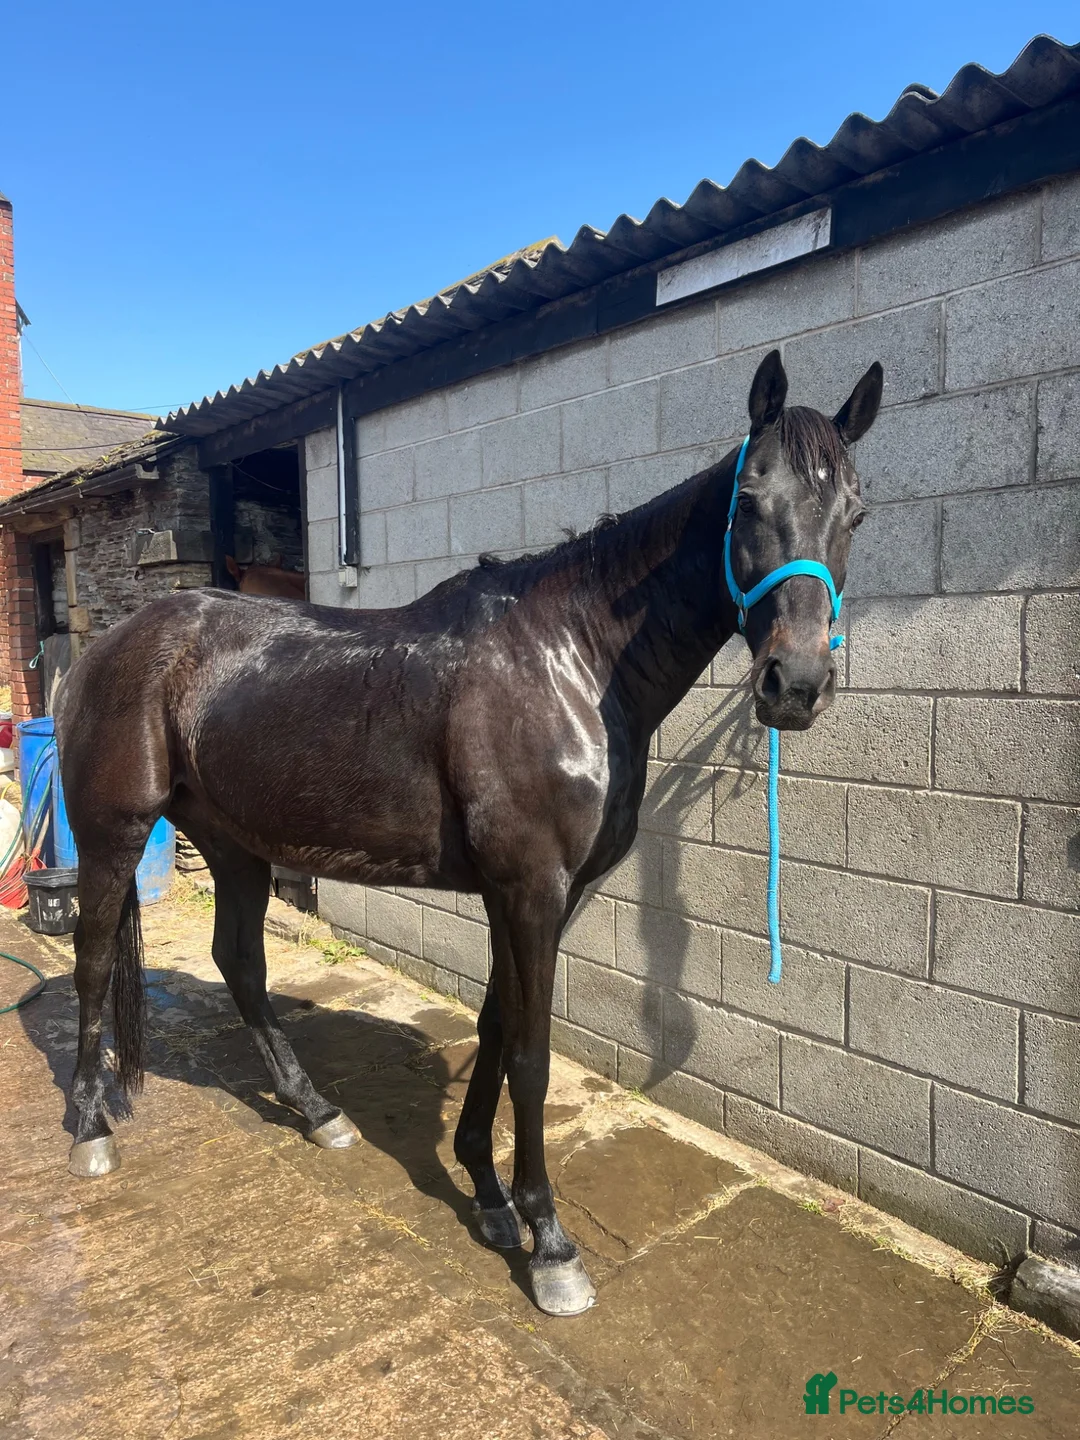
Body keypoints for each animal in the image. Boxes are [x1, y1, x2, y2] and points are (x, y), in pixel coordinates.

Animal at [55, 349, 882, 1317]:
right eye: (748, 499)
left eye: (856, 512)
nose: (797, 684)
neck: (569, 662)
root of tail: (109, 644)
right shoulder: (528, 889)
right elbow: (530, 1052)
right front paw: (550, 1242)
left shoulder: (540, 894)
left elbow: (493, 1026)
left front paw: (486, 1194)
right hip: (112, 832)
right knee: (93, 964)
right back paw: (90, 1127)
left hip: (234, 844)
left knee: (241, 965)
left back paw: (318, 1113)